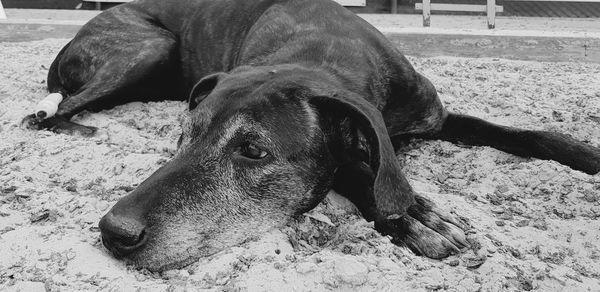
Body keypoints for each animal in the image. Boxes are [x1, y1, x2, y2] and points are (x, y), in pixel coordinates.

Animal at [19, 0, 600, 272]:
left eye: (253, 151)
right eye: (182, 138)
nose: (112, 232)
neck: (322, 48)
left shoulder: (432, 114)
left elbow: (517, 132)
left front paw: (583, 151)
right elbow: (354, 165)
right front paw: (412, 214)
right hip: (149, 47)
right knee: (50, 113)